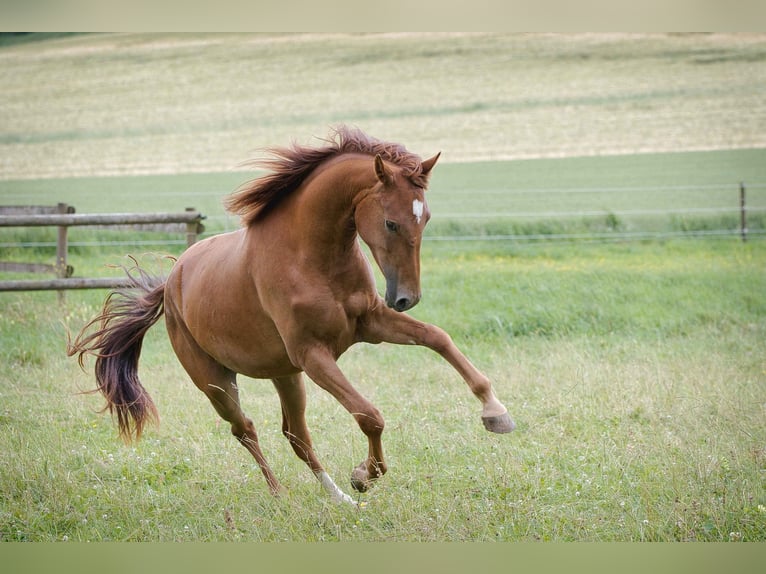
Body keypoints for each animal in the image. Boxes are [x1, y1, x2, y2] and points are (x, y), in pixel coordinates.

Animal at [70, 128, 516, 506]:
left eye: (425, 218)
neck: (310, 257)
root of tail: (172, 280)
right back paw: (285, 492)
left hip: (285, 374)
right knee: (246, 429)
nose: (406, 298)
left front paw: (495, 413)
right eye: (391, 222)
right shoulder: (314, 355)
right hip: (216, 381)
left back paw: (339, 498)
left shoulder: (371, 324)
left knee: (295, 435)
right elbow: (369, 416)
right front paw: (363, 475)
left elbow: (438, 338)